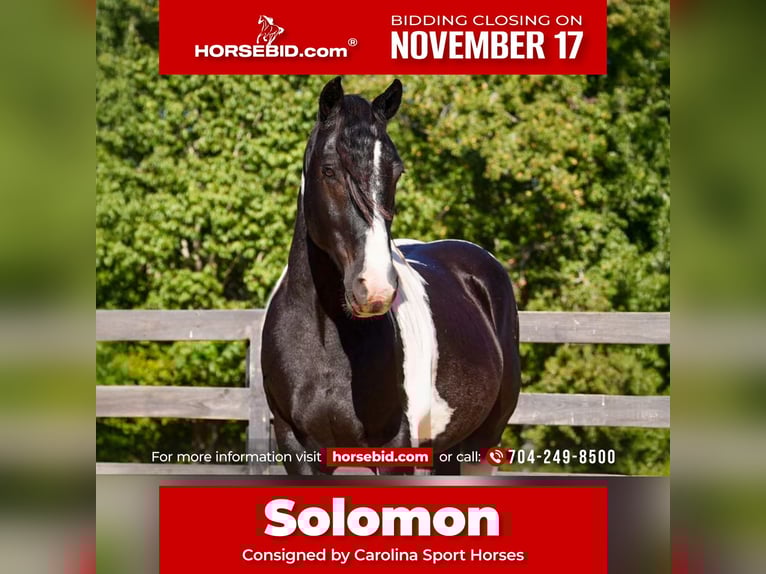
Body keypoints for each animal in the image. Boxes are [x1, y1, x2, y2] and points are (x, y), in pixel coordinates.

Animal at [261, 77, 521, 475]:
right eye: (329, 170)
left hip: (482, 441)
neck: (325, 341)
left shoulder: (394, 449)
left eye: (396, 172)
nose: (375, 288)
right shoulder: (296, 447)